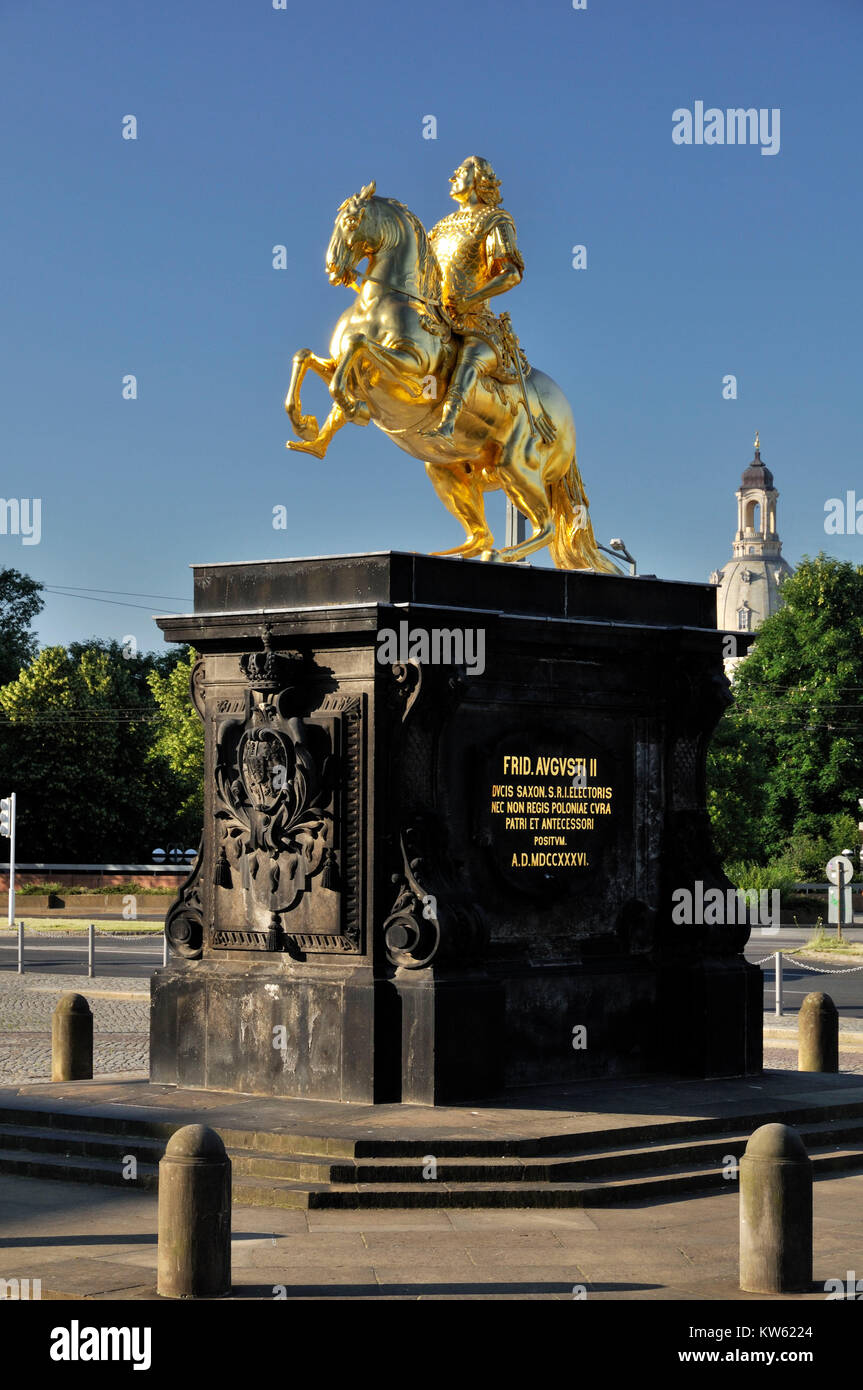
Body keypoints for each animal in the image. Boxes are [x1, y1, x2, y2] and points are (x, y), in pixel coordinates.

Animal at [286, 182, 617, 567]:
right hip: (445, 469)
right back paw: (445, 552)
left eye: (352, 221)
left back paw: (500, 555)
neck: (379, 303)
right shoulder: (344, 364)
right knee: (481, 533)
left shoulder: (414, 372)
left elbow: (357, 346)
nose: (333, 269)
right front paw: (307, 428)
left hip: (516, 467)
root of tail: (567, 420)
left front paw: (354, 408)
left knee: (544, 526)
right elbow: (308, 358)